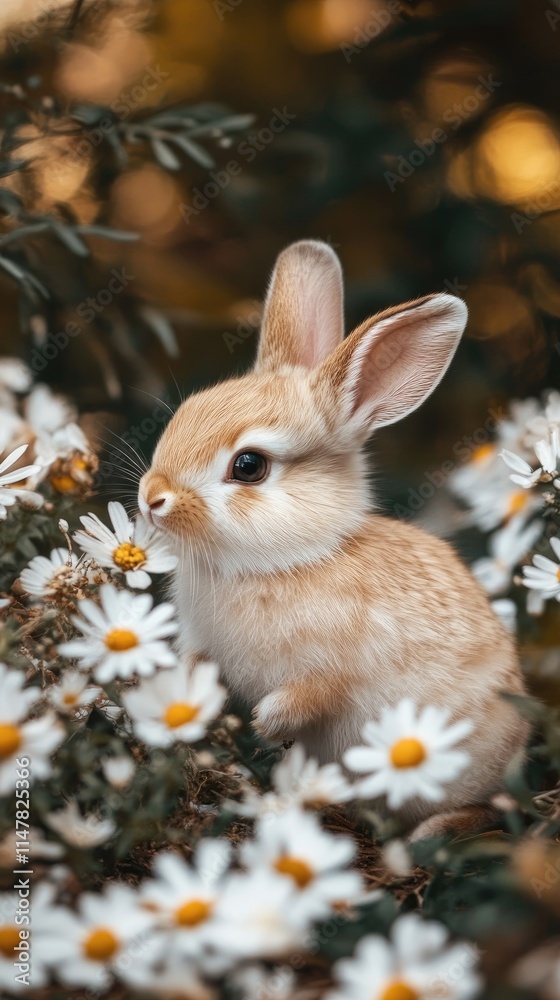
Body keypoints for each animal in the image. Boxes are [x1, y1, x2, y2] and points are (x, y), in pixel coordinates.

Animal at [138, 240, 529, 839]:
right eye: (185, 414)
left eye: (248, 466)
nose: (151, 498)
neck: (292, 558)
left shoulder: (329, 674)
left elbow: (308, 697)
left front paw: (264, 724)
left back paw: (433, 830)